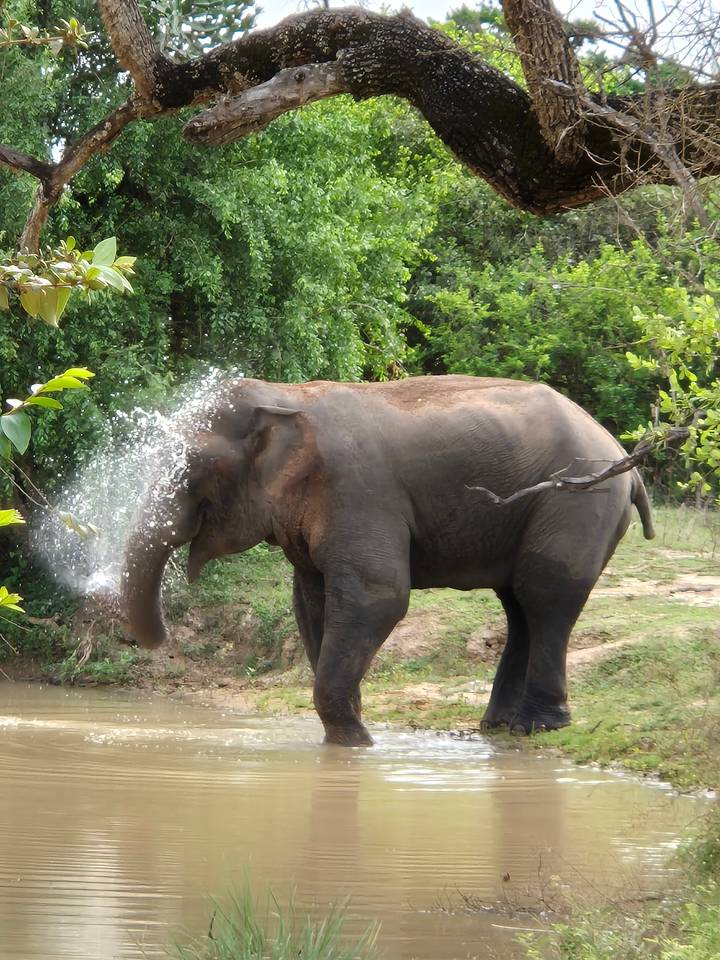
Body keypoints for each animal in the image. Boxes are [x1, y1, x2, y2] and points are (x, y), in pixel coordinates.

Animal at [121, 375, 654, 745]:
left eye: (195, 469)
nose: (161, 643)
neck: (287, 395)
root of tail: (623, 458)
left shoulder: (357, 492)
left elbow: (376, 597)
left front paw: (359, 744)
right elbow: (310, 602)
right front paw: (347, 739)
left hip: (577, 505)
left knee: (543, 595)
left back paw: (534, 728)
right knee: (518, 603)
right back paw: (498, 726)